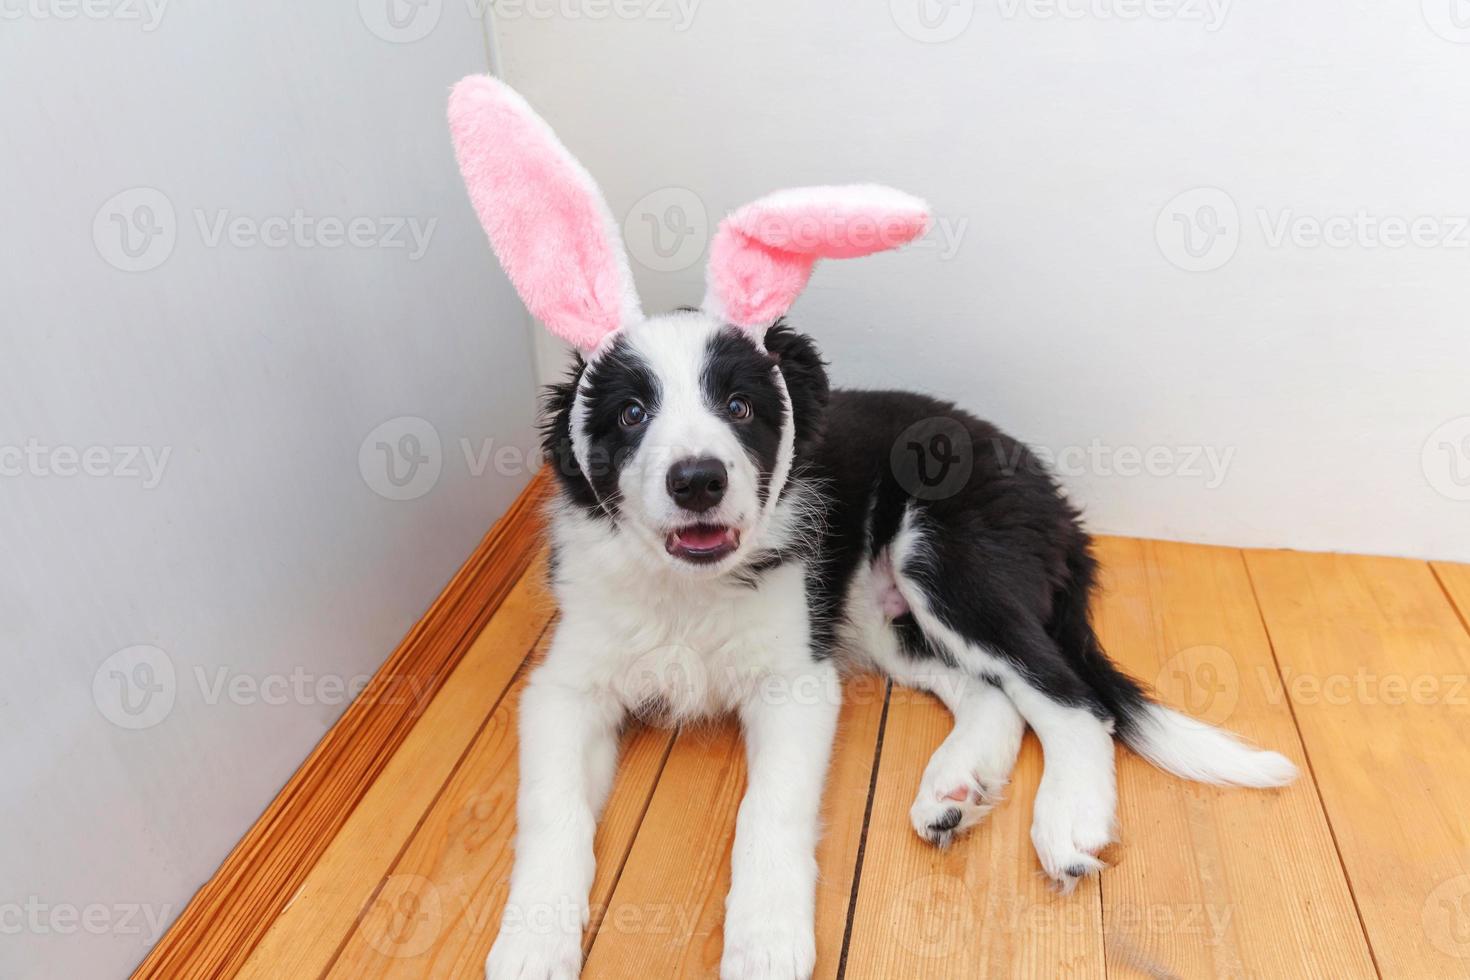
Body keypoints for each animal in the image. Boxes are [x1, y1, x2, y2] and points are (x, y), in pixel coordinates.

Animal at [449, 76, 1299, 980]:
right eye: (632, 414)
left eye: (740, 407)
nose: (699, 481)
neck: (689, 591)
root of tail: (1052, 497)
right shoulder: (566, 686)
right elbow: (550, 813)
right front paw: (532, 941)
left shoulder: (796, 679)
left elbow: (768, 813)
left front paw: (766, 942)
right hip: (877, 615)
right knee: (993, 696)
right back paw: (956, 790)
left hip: (946, 561)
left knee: (1068, 699)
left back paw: (1067, 821)